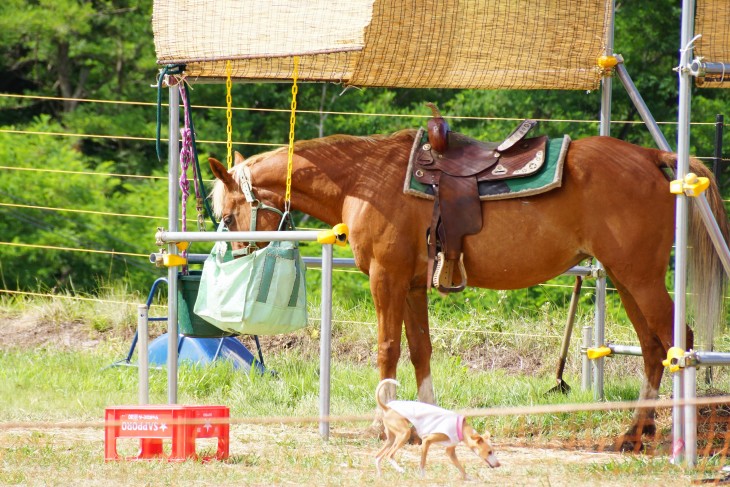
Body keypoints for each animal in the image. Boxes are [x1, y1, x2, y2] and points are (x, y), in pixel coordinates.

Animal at [208, 127, 724, 452]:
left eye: (228, 215)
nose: (232, 255)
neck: (365, 181)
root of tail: (652, 157)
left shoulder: (386, 278)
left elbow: (387, 348)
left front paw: (383, 424)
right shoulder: (412, 286)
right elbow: (420, 349)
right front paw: (423, 425)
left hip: (639, 277)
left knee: (680, 342)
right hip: (624, 278)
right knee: (653, 349)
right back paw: (636, 433)